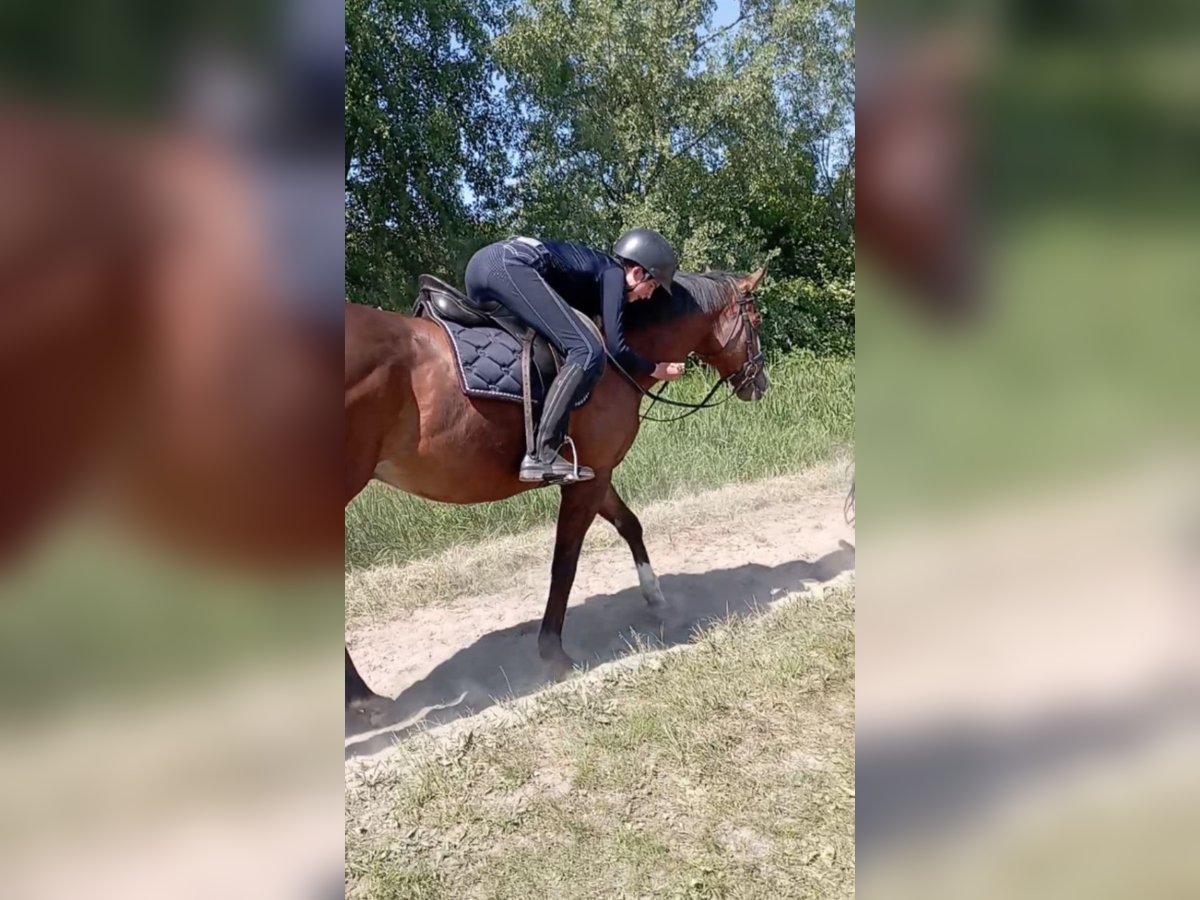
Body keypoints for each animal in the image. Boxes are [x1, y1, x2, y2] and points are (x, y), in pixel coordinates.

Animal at [344, 266, 770, 706]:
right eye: (755, 320)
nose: (760, 382)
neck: (614, 356)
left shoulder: (595, 472)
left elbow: (629, 525)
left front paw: (656, 597)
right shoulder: (587, 480)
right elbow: (565, 561)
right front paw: (553, 650)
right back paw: (362, 700)